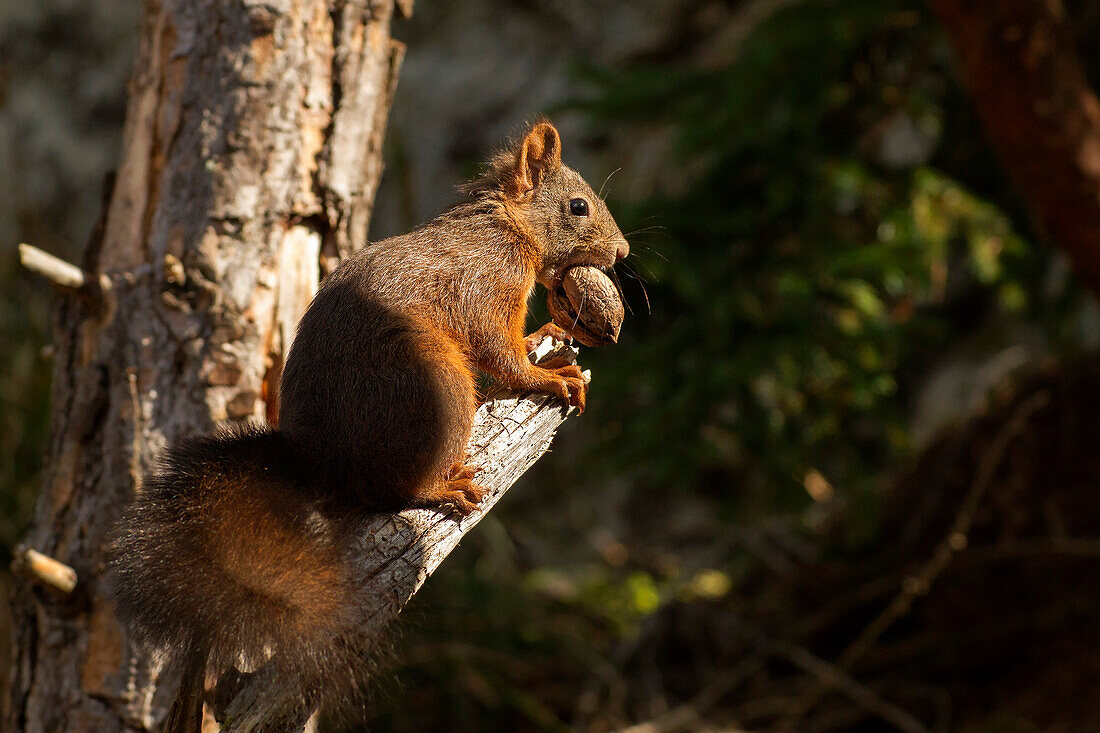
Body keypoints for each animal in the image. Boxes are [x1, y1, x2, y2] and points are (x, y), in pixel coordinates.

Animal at [109, 121, 629, 730]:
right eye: (578, 206)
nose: (621, 252)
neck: (506, 227)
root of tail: (316, 465)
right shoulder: (486, 284)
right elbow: (501, 356)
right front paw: (551, 376)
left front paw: (544, 336)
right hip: (439, 384)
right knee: (390, 488)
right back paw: (441, 487)